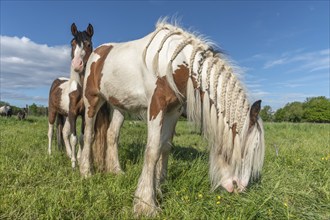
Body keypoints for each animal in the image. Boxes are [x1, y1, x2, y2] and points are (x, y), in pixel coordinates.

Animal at [47, 22, 94, 168]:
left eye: (88, 44)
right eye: (72, 43)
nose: (77, 65)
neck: (78, 89)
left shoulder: (82, 114)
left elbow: (82, 137)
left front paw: (79, 159)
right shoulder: (73, 113)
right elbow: (74, 138)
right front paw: (74, 164)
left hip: (65, 115)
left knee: (63, 132)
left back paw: (68, 154)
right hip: (53, 112)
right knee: (51, 132)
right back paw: (50, 153)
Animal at [80, 19, 266, 217]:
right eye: (245, 150)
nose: (238, 188)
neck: (176, 62)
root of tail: (97, 53)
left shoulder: (174, 110)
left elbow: (165, 146)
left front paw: (160, 186)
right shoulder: (156, 106)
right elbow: (152, 150)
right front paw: (146, 204)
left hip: (119, 107)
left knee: (111, 135)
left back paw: (116, 172)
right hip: (92, 100)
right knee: (89, 134)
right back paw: (86, 172)